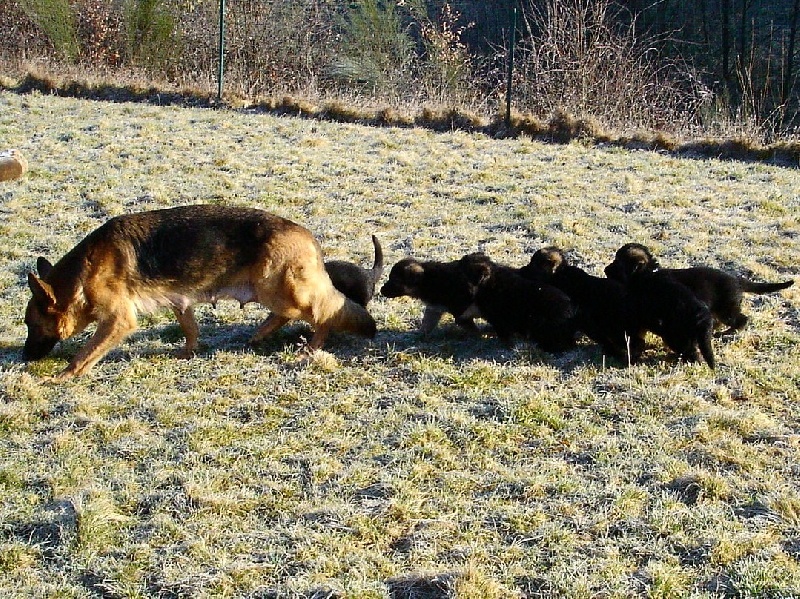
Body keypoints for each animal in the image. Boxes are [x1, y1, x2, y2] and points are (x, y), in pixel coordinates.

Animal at [22, 204, 378, 378]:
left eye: (31, 325)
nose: (24, 359)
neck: (84, 272)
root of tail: (307, 236)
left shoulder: (117, 321)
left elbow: (85, 353)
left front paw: (64, 376)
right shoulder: (180, 301)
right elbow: (190, 329)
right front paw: (187, 352)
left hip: (279, 291)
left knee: (325, 312)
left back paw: (312, 347)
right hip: (274, 292)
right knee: (289, 315)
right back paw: (260, 335)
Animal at [608, 244, 792, 338]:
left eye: (617, 263)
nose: (605, 270)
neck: (647, 274)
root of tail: (738, 281)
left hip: (726, 309)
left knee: (741, 320)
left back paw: (727, 333)